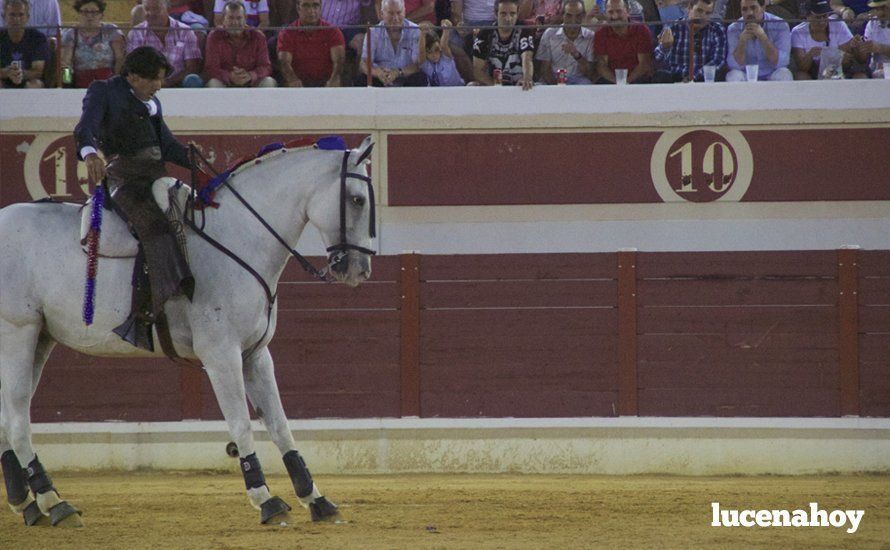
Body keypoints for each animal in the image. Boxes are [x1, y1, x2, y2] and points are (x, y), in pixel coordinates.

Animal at [0, 137, 374, 528]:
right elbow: (241, 424)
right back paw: (54, 502)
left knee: (8, 416)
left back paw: (28, 505)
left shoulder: (256, 355)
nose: (359, 270)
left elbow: (280, 424)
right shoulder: (221, 355)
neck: (238, 237)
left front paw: (316, 498)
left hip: (40, 338)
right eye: (358, 200)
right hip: (17, 331)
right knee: (17, 417)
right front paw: (266, 499)